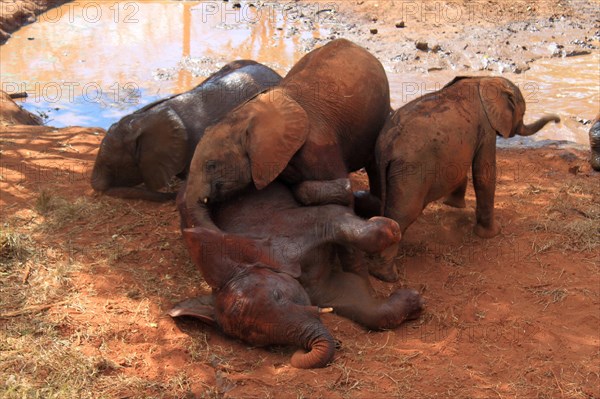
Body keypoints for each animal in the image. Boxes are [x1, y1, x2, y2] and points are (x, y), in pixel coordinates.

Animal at [169, 181, 422, 368]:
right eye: (262, 340)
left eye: (279, 296)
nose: (300, 354)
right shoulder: (317, 287)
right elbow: (358, 303)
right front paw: (415, 301)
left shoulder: (295, 227)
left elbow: (335, 217)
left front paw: (391, 227)